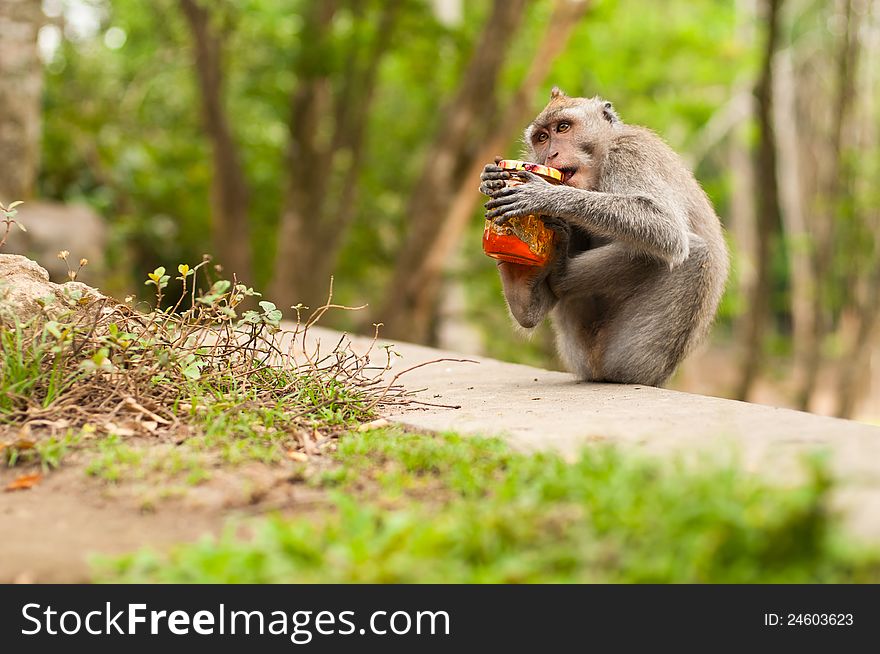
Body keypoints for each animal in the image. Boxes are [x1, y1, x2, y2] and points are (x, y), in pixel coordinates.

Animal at [482, 86, 728, 384]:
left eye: (562, 127)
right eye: (542, 137)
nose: (550, 155)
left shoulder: (629, 154)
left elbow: (665, 226)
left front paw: (546, 194)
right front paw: (491, 179)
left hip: (641, 355)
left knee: (694, 251)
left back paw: (557, 274)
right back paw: (523, 292)